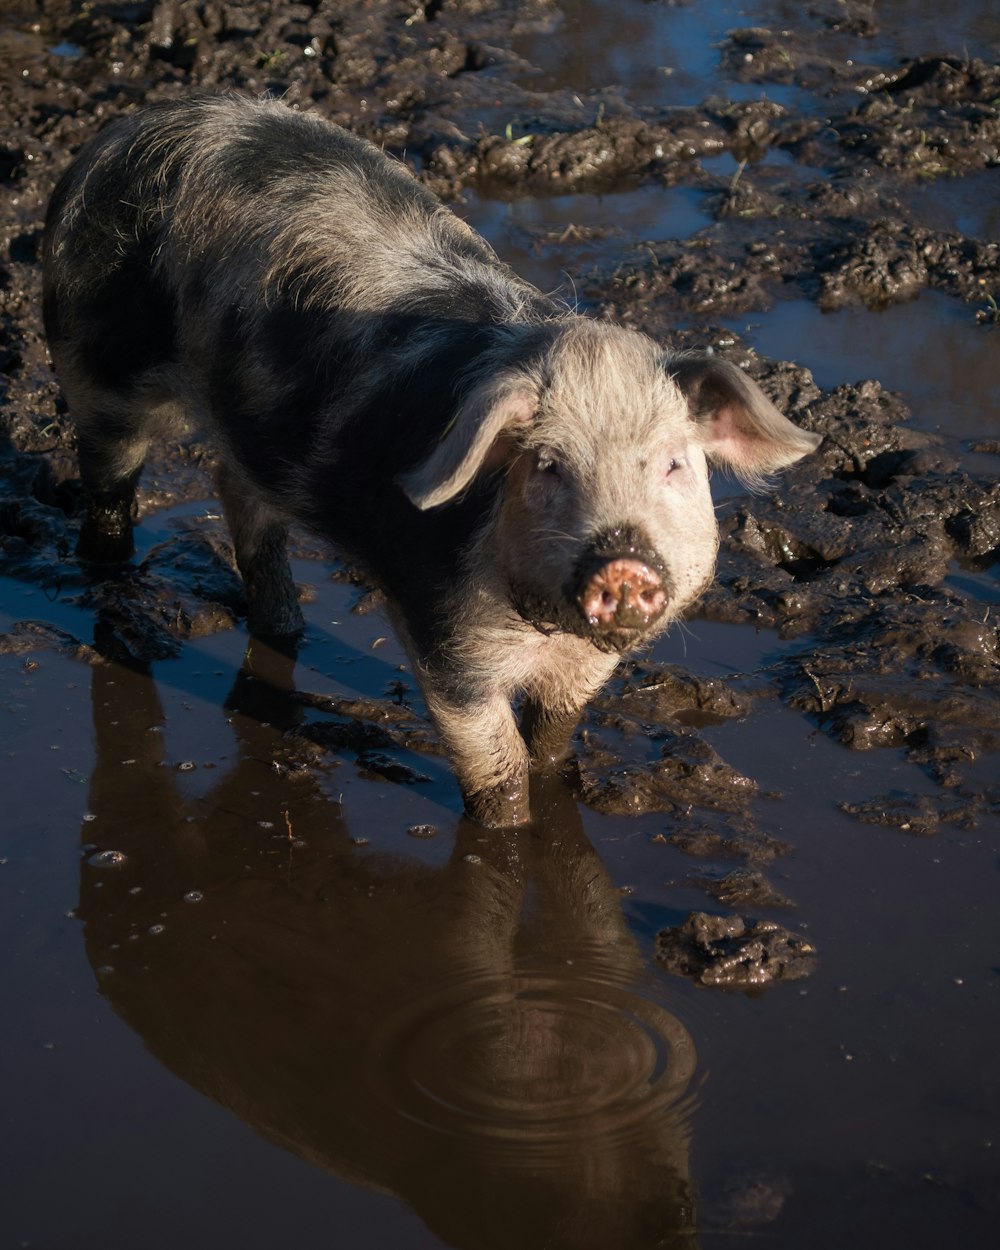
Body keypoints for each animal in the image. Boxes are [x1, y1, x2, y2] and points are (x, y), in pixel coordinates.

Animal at [43, 92, 820, 825]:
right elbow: (497, 768)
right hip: (96, 365)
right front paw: (509, 832)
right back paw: (110, 585)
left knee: (235, 487)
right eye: (547, 465)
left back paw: (285, 625)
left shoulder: (585, 663)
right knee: (108, 478)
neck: (539, 626)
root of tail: (127, 130)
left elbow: (550, 741)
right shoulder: (443, 636)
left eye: (672, 465)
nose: (622, 558)